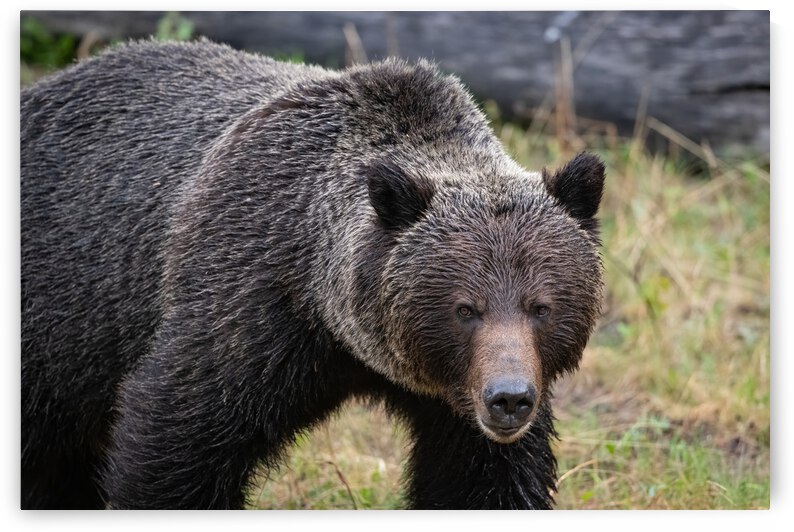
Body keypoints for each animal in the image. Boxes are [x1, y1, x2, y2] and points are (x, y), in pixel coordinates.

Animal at [21, 39, 605, 510]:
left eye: (540, 305)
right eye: (465, 308)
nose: (508, 399)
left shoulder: (461, 403)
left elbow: (485, 480)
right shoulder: (245, 306)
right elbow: (176, 441)